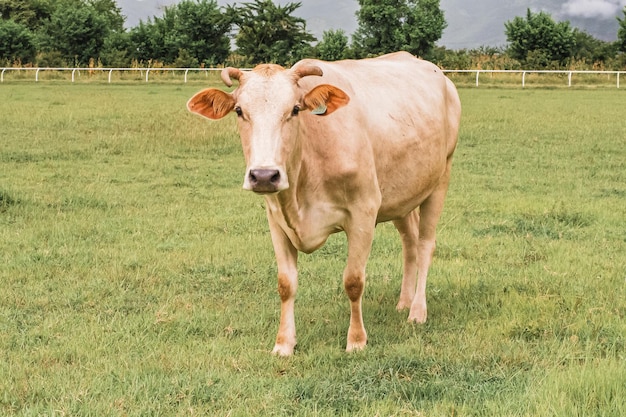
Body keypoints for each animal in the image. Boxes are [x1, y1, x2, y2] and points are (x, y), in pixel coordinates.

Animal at [185, 51, 458, 354]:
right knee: (409, 244)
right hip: (402, 195)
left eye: (295, 109)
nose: (264, 175)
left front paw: (356, 340)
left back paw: (417, 311)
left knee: (424, 245)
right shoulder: (276, 218)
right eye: (239, 111)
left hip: (440, 179)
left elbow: (353, 281)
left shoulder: (364, 212)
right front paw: (284, 344)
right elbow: (286, 284)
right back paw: (404, 302)